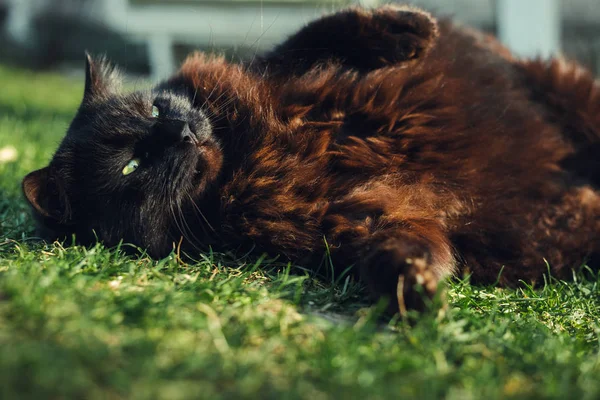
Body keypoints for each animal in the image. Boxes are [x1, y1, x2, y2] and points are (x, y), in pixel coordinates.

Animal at [21, 4, 600, 314]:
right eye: (131, 167)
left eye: (158, 107)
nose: (182, 130)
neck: (246, 157)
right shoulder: (365, 213)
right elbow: (400, 251)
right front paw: (415, 288)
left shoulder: (275, 71)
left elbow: (319, 31)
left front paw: (411, 31)